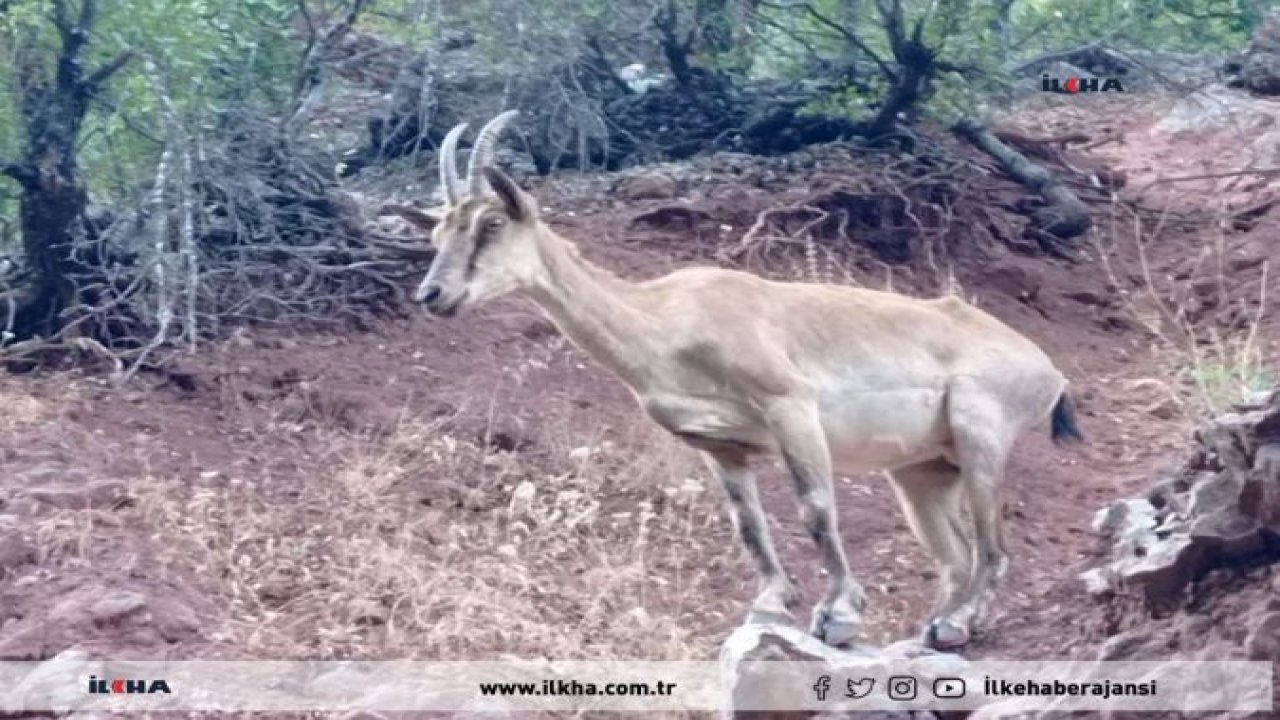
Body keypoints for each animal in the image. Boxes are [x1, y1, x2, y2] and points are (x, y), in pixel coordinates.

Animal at [384, 109, 1085, 648]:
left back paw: (958, 625)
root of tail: (1047, 369)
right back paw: (937, 626)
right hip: (922, 472)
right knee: (956, 555)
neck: (668, 320)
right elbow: (748, 524)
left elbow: (814, 506)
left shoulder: (790, 406)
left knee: (993, 549)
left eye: (491, 223)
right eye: (439, 229)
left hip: (979, 434)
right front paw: (773, 603)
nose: (432, 294)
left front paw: (838, 614)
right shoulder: (721, 446)